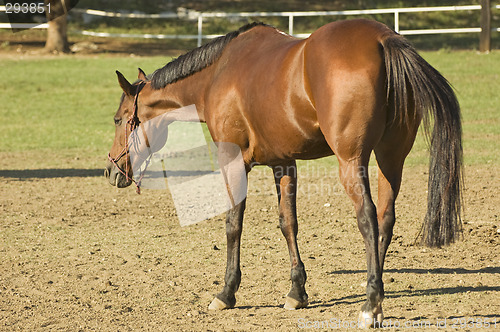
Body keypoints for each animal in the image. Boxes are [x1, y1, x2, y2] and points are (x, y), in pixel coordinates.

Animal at [104, 19, 460, 328]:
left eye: (119, 119)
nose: (110, 170)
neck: (218, 73)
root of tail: (383, 39)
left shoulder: (232, 160)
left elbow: (233, 224)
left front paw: (227, 292)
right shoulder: (284, 163)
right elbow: (288, 223)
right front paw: (296, 292)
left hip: (352, 161)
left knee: (368, 218)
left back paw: (370, 305)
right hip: (391, 158)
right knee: (386, 219)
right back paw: (378, 294)